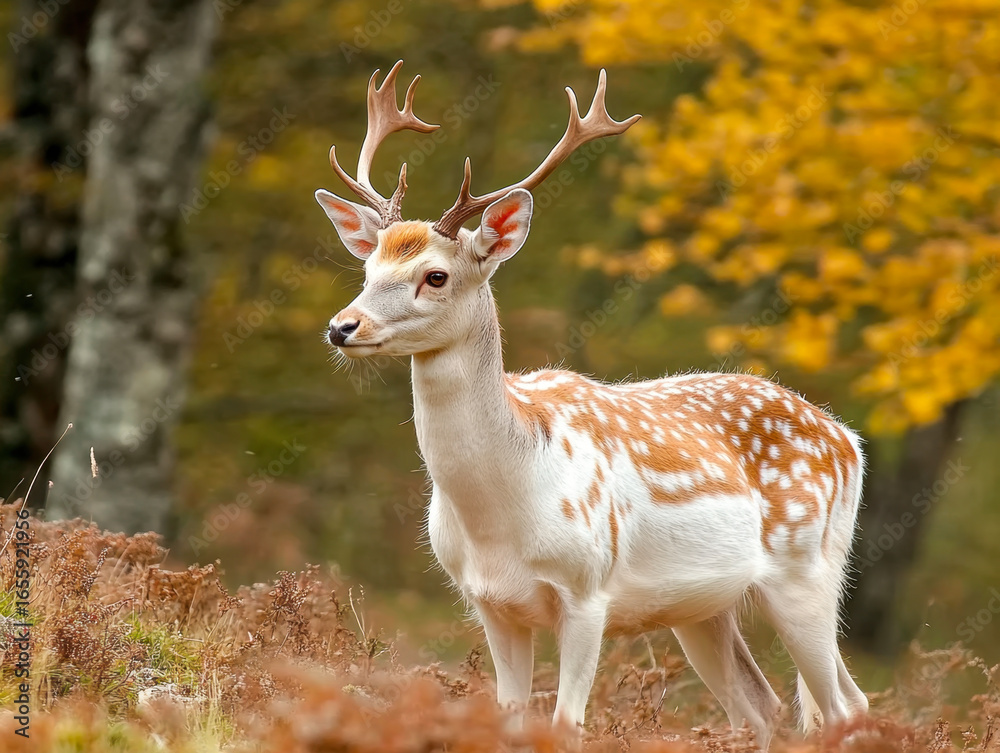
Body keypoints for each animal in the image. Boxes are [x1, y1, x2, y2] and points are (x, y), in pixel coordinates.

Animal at [314, 61, 869, 749]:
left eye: (435, 275)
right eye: (367, 268)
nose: (342, 327)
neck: (502, 512)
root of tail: (849, 439)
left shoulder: (587, 588)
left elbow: (565, 724)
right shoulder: (490, 603)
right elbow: (509, 720)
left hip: (809, 570)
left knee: (843, 707)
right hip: (704, 607)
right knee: (764, 707)